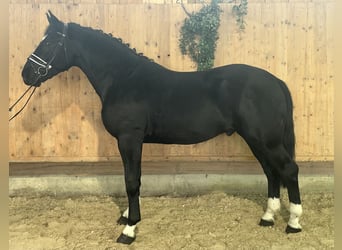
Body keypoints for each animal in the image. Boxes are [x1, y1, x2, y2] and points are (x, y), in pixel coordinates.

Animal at [21, 11, 304, 244]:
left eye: (48, 43)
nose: (26, 74)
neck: (123, 78)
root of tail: (275, 81)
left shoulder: (129, 138)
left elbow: (131, 181)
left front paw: (129, 229)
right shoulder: (131, 142)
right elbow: (132, 177)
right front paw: (127, 215)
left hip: (265, 140)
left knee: (288, 170)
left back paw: (293, 222)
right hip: (256, 140)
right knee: (271, 172)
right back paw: (267, 217)